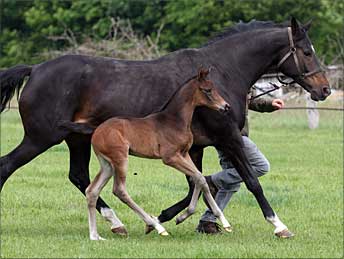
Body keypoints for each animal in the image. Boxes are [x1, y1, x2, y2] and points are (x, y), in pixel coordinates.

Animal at [85, 68, 231, 240]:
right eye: (207, 90)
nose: (226, 106)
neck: (175, 121)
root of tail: (96, 134)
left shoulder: (184, 154)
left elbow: (198, 178)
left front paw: (187, 217)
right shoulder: (170, 157)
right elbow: (199, 178)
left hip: (107, 164)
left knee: (92, 191)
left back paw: (95, 236)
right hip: (120, 159)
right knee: (119, 190)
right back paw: (156, 226)